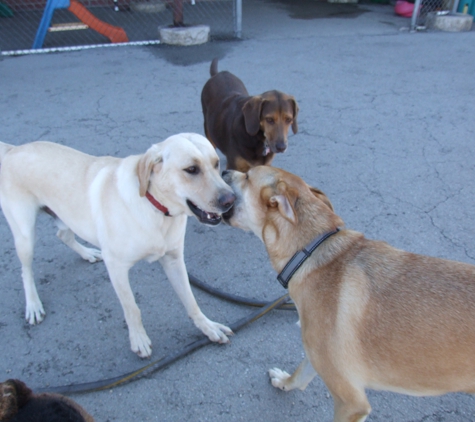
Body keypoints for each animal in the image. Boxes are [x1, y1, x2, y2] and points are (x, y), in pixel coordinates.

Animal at [0, 134, 236, 358]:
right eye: (191, 169)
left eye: (216, 163)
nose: (231, 200)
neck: (156, 209)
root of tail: (13, 149)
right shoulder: (116, 267)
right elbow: (132, 308)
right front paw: (138, 340)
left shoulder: (174, 260)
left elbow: (191, 300)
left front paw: (208, 327)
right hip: (25, 235)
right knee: (26, 270)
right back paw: (33, 304)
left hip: (66, 216)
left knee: (62, 235)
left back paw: (87, 253)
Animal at [224, 166, 475, 422]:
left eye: (247, 176)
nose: (224, 170)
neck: (310, 252)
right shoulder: (317, 355)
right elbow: (299, 376)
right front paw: (284, 381)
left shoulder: (351, 402)